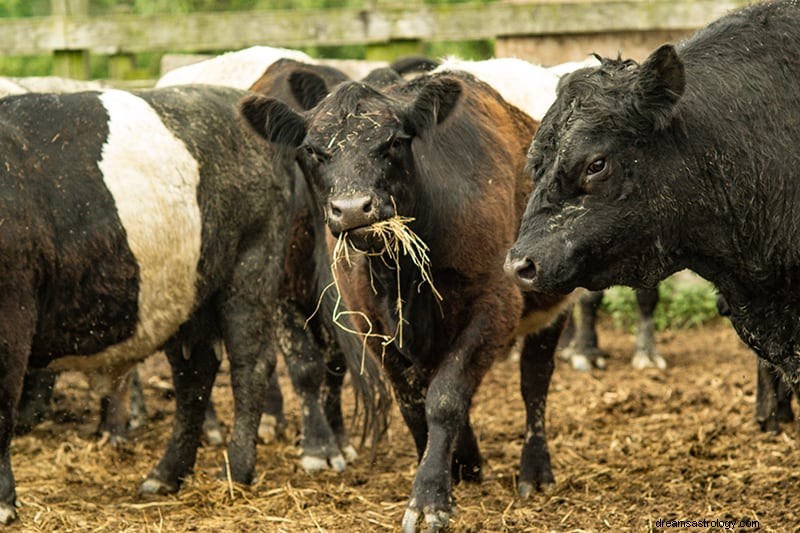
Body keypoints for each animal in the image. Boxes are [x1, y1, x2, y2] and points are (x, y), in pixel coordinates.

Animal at [0, 85, 296, 520]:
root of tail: (234, 98)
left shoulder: (12, 320)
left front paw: (3, 501)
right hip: (185, 297)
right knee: (194, 377)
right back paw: (167, 474)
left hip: (251, 270)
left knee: (250, 367)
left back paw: (235, 472)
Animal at [238, 65, 576, 528]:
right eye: (313, 150)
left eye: (395, 141)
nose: (353, 209)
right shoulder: (370, 323)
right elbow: (413, 402)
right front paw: (444, 468)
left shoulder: (495, 306)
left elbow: (446, 398)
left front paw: (430, 497)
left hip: (549, 302)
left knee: (535, 382)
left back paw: (535, 471)